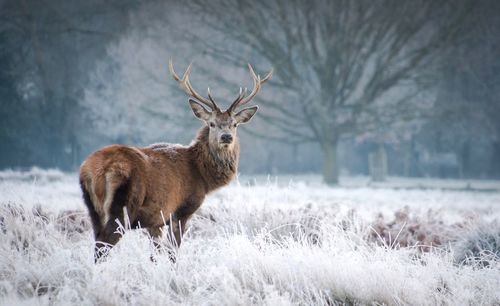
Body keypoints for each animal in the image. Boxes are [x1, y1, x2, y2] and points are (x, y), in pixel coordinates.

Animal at [79, 61, 272, 262]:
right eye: (211, 123)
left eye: (235, 124)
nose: (226, 137)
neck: (202, 177)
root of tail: (95, 170)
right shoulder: (181, 211)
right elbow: (172, 253)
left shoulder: (155, 219)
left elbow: (155, 254)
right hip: (122, 204)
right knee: (102, 247)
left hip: (93, 208)